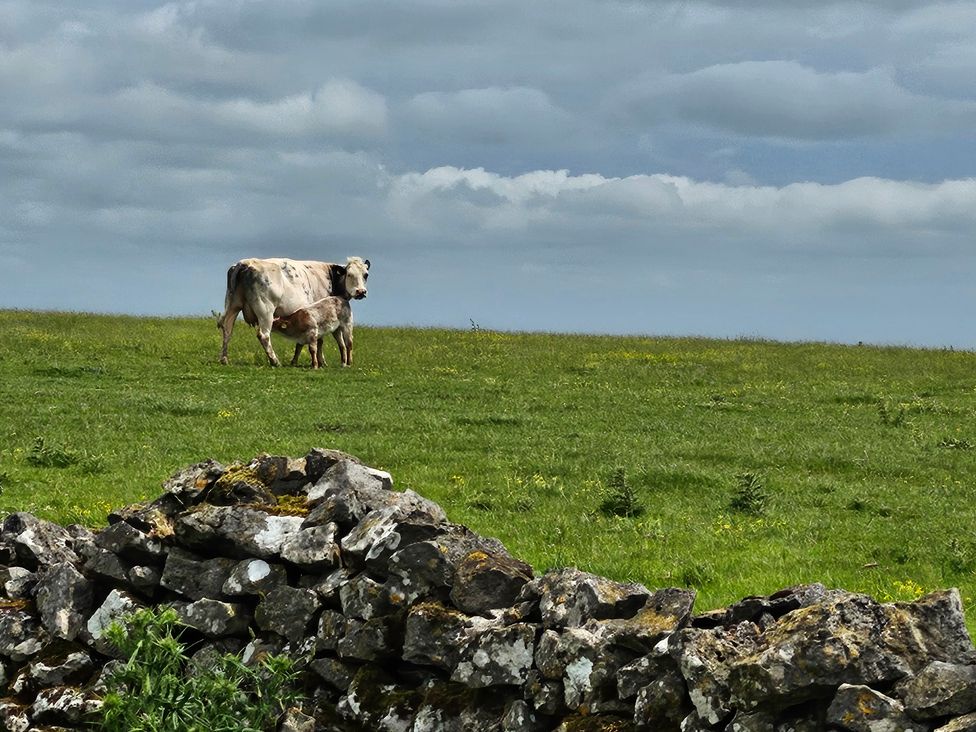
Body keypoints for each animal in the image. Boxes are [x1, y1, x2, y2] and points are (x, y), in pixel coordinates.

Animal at [217, 256, 369, 366]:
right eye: (349, 274)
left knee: (227, 329)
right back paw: (275, 361)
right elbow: (319, 340)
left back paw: (224, 359)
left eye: (366, 275)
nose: (361, 291)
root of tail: (245, 263)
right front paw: (321, 362)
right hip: (265, 310)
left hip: (232, 305)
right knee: (264, 335)